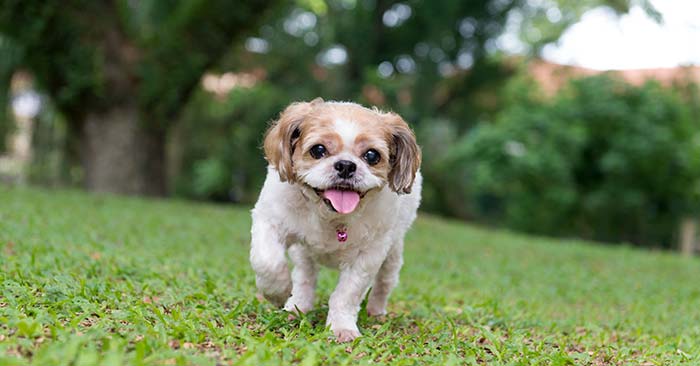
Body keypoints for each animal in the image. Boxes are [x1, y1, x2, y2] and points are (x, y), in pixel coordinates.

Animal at [250, 98, 422, 342]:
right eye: (318, 150)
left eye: (372, 156)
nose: (346, 165)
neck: (330, 216)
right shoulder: (269, 221)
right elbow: (268, 262)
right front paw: (278, 292)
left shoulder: (368, 255)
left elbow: (346, 294)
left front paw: (342, 327)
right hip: (303, 252)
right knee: (305, 275)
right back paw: (297, 305)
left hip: (393, 252)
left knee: (384, 282)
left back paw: (376, 311)